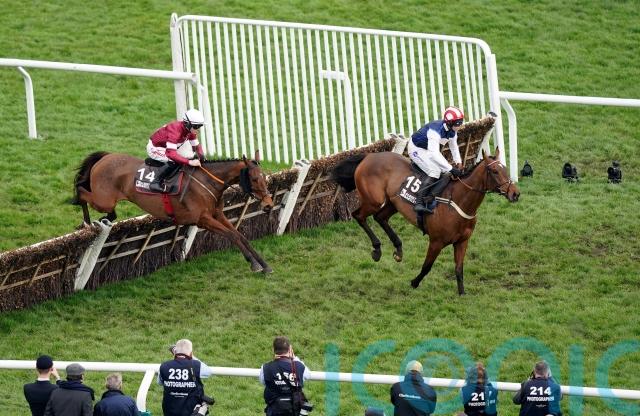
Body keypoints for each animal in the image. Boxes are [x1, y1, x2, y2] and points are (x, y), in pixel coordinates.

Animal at [72, 151, 274, 273]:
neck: (208, 182)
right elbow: (232, 236)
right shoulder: (203, 219)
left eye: (264, 176)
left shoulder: (218, 215)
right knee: (81, 191)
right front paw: (254, 264)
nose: (269, 204)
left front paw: (264, 264)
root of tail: (106, 156)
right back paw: (86, 221)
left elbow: (240, 236)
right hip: (103, 200)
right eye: (254, 179)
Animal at [331, 148, 520, 294]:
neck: (458, 201)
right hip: (374, 200)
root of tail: (368, 156)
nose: (515, 193)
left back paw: (398, 249)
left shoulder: (462, 241)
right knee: (359, 215)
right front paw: (414, 282)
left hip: (392, 202)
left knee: (380, 217)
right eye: (494, 171)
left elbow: (459, 268)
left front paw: (462, 293)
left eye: (505, 169)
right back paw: (377, 249)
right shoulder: (436, 241)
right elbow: (427, 266)